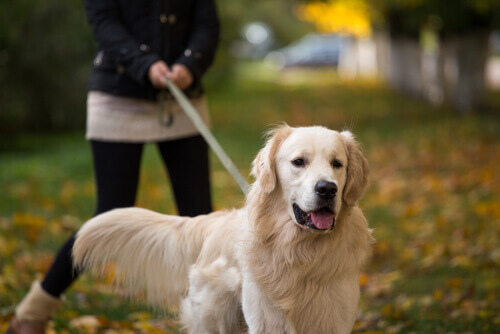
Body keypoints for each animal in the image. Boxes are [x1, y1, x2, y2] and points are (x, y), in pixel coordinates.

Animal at [72, 125, 374, 334]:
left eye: (337, 164)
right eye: (299, 161)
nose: (327, 189)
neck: (299, 252)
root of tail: (218, 221)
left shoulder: (334, 319)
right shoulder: (267, 321)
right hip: (214, 317)